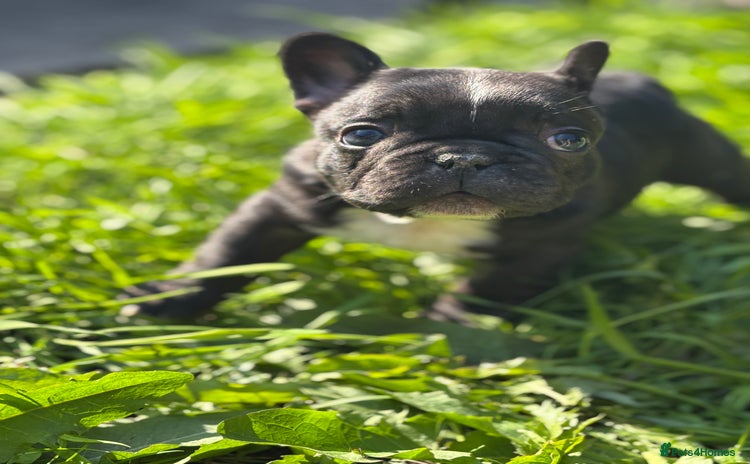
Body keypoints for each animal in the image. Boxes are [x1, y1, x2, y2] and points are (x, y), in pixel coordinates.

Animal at [121, 32, 750, 322]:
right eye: (360, 135)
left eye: (567, 139)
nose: (464, 157)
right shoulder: (282, 204)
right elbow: (227, 254)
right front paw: (168, 300)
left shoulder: (546, 244)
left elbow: (489, 289)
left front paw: (450, 325)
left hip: (707, 157)